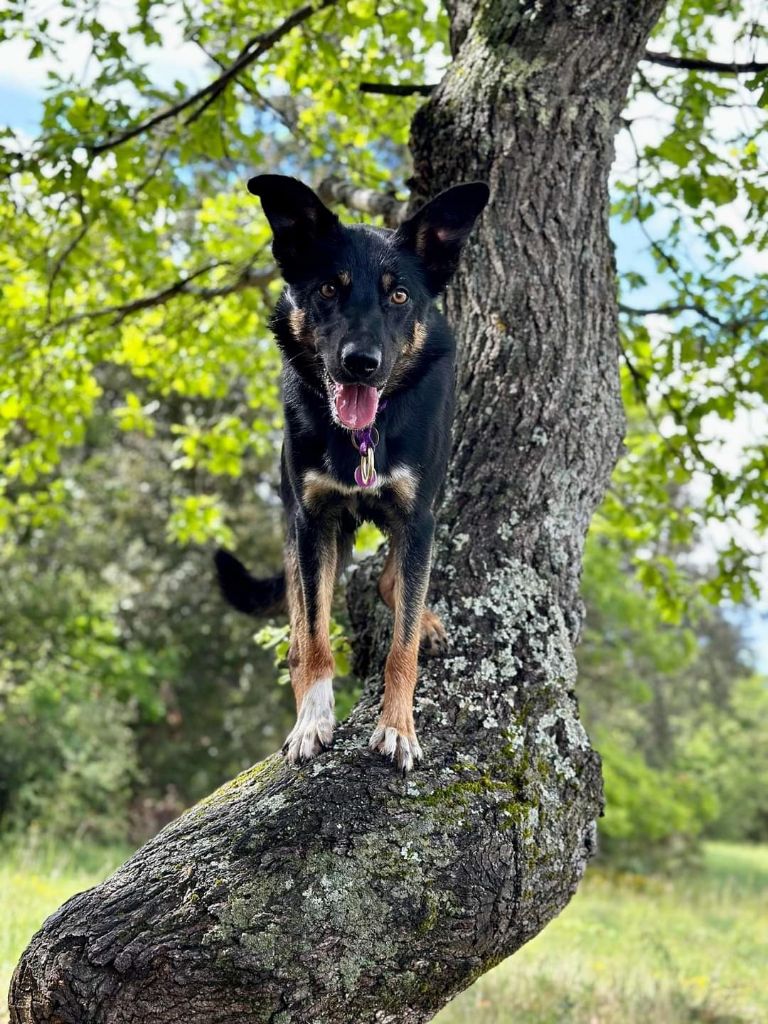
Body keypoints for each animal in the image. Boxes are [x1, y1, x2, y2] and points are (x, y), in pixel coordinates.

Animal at [215, 174, 493, 770]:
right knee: (299, 634)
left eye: (399, 295)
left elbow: (401, 646)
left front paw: (398, 726)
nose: (361, 363)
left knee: (393, 582)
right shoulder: (312, 522)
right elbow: (316, 640)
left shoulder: (417, 517)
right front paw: (312, 721)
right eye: (327, 289)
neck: (364, 435)